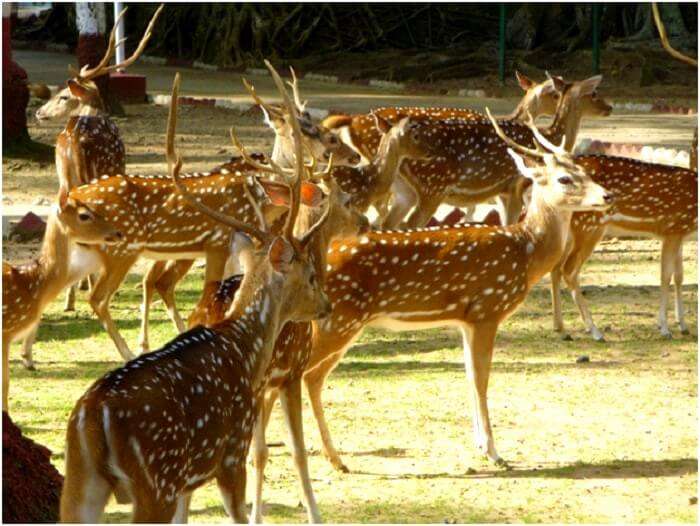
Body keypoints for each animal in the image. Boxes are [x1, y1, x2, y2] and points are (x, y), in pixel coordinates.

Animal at [58, 65, 330, 524]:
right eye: (310, 275)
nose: (325, 306)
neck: (244, 348)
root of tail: (91, 418)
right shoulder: (232, 450)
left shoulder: (188, 480)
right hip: (155, 479)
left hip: (81, 478)